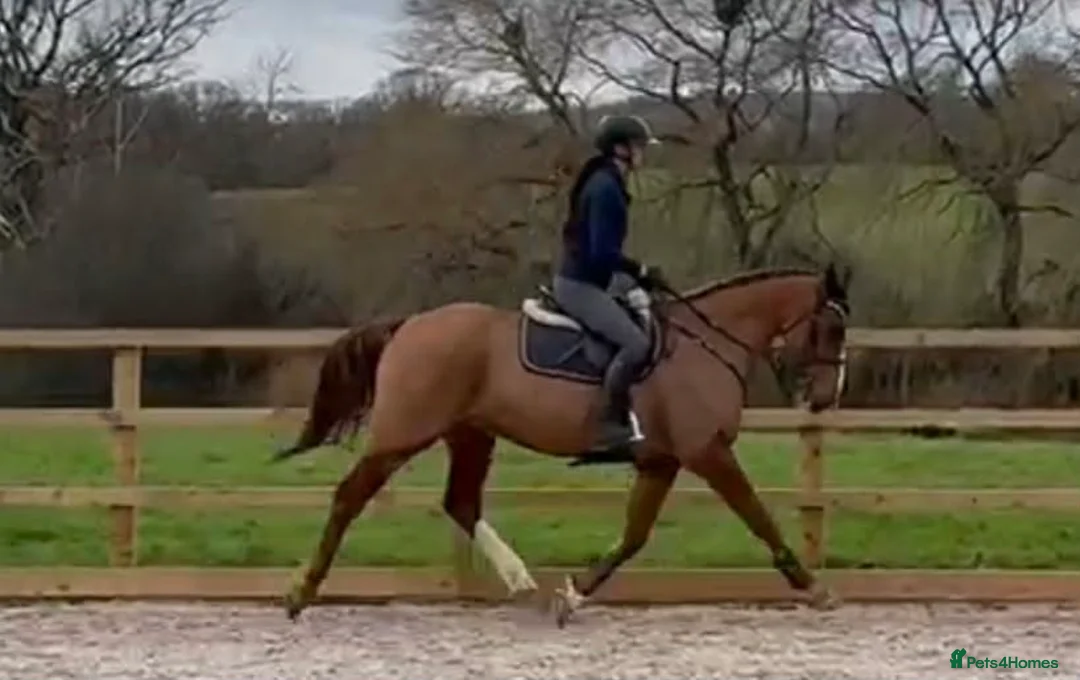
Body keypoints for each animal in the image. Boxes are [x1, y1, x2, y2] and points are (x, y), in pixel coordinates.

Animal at [275, 264, 850, 626]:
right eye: (831, 328)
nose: (826, 397)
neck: (705, 344)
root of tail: (409, 326)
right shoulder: (706, 453)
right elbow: (760, 518)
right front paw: (815, 589)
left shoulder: (660, 462)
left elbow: (633, 537)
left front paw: (572, 597)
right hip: (403, 434)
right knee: (350, 497)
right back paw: (301, 594)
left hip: (472, 435)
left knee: (460, 503)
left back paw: (523, 583)